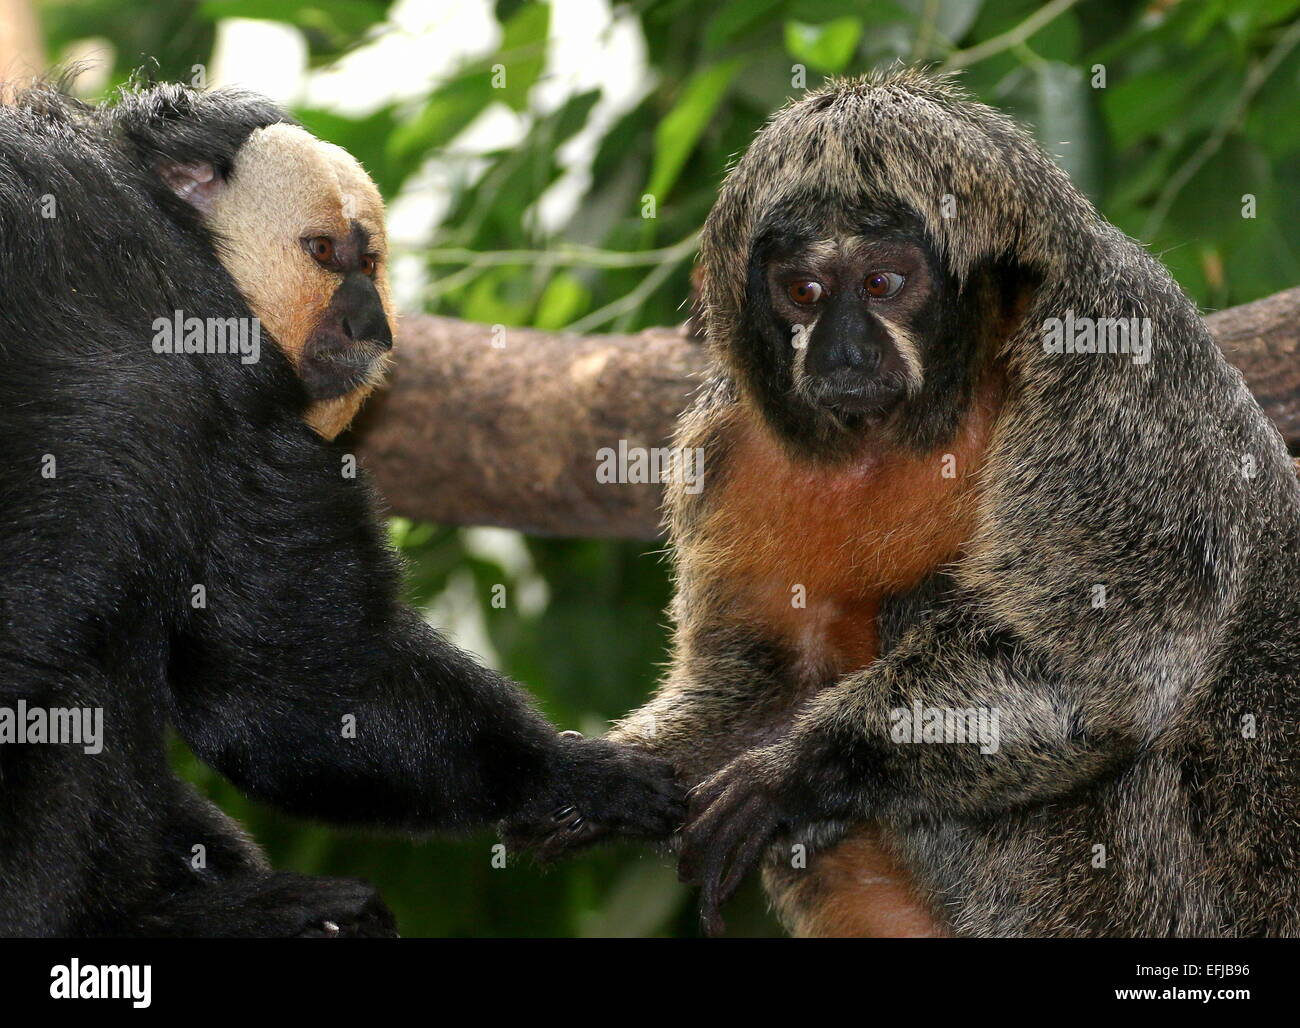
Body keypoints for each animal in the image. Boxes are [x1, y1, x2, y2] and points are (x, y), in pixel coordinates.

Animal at [512, 70, 1300, 940]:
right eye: (804, 292)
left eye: (882, 284)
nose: (843, 351)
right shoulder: (731, 448)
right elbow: (766, 682)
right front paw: (611, 782)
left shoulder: (1112, 350)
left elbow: (1106, 669)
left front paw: (794, 774)